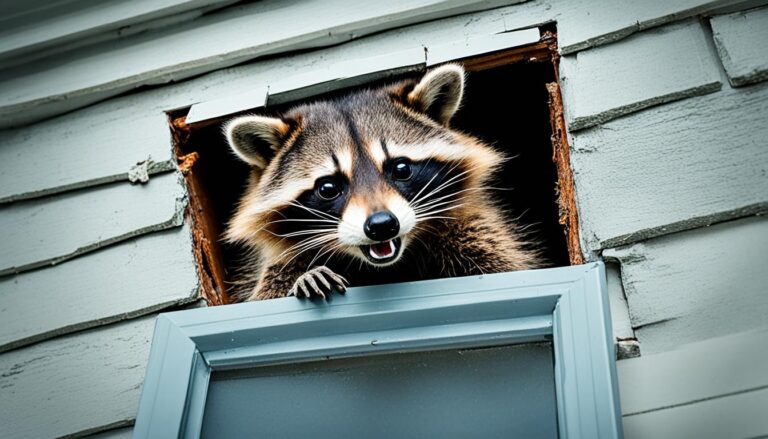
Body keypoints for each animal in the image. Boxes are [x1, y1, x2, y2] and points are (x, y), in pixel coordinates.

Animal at [224, 64, 540, 301]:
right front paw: (307, 277)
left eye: (401, 168)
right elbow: (272, 287)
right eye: (328, 188)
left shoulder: (472, 232)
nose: (381, 225)